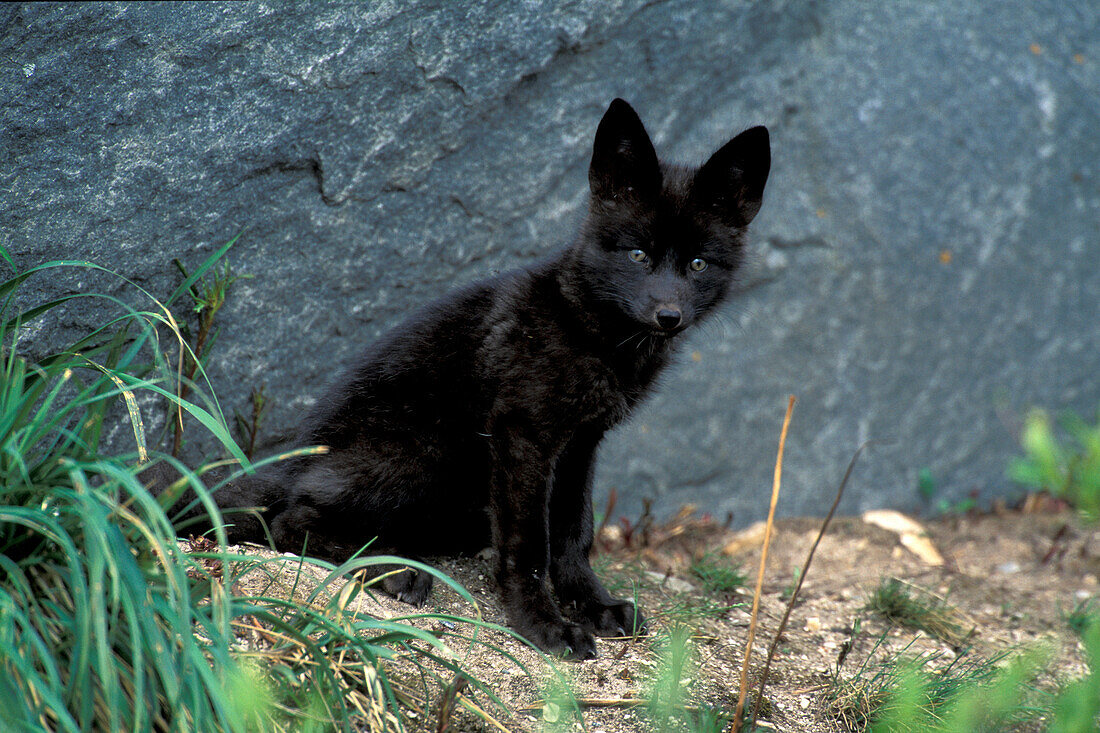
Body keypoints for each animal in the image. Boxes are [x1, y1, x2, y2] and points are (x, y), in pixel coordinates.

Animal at [189, 100, 770, 660]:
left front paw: (594, 605)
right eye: (639, 255)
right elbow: (530, 544)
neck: (589, 332)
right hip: (425, 457)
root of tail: (296, 455)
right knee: (289, 521)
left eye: (698, 263)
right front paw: (543, 625)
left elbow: (573, 533)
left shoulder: (581, 442)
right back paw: (392, 571)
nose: (669, 316)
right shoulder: (522, 433)